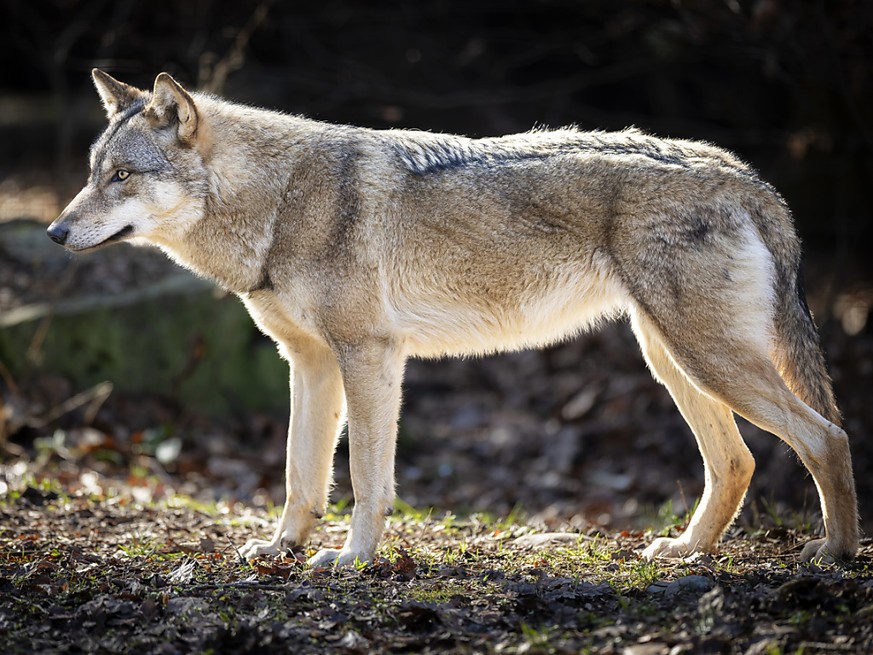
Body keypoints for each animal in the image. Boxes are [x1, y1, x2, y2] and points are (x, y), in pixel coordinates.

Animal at [47, 69, 860, 568]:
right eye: (91, 174)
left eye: (123, 176)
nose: (54, 233)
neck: (277, 203)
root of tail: (745, 174)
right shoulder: (308, 363)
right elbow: (298, 473)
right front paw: (281, 550)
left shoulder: (369, 356)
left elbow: (364, 476)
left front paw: (353, 559)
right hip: (671, 359)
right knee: (738, 461)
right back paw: (686, 552)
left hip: (702, 358)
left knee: (826, 434)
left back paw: (835, 554)